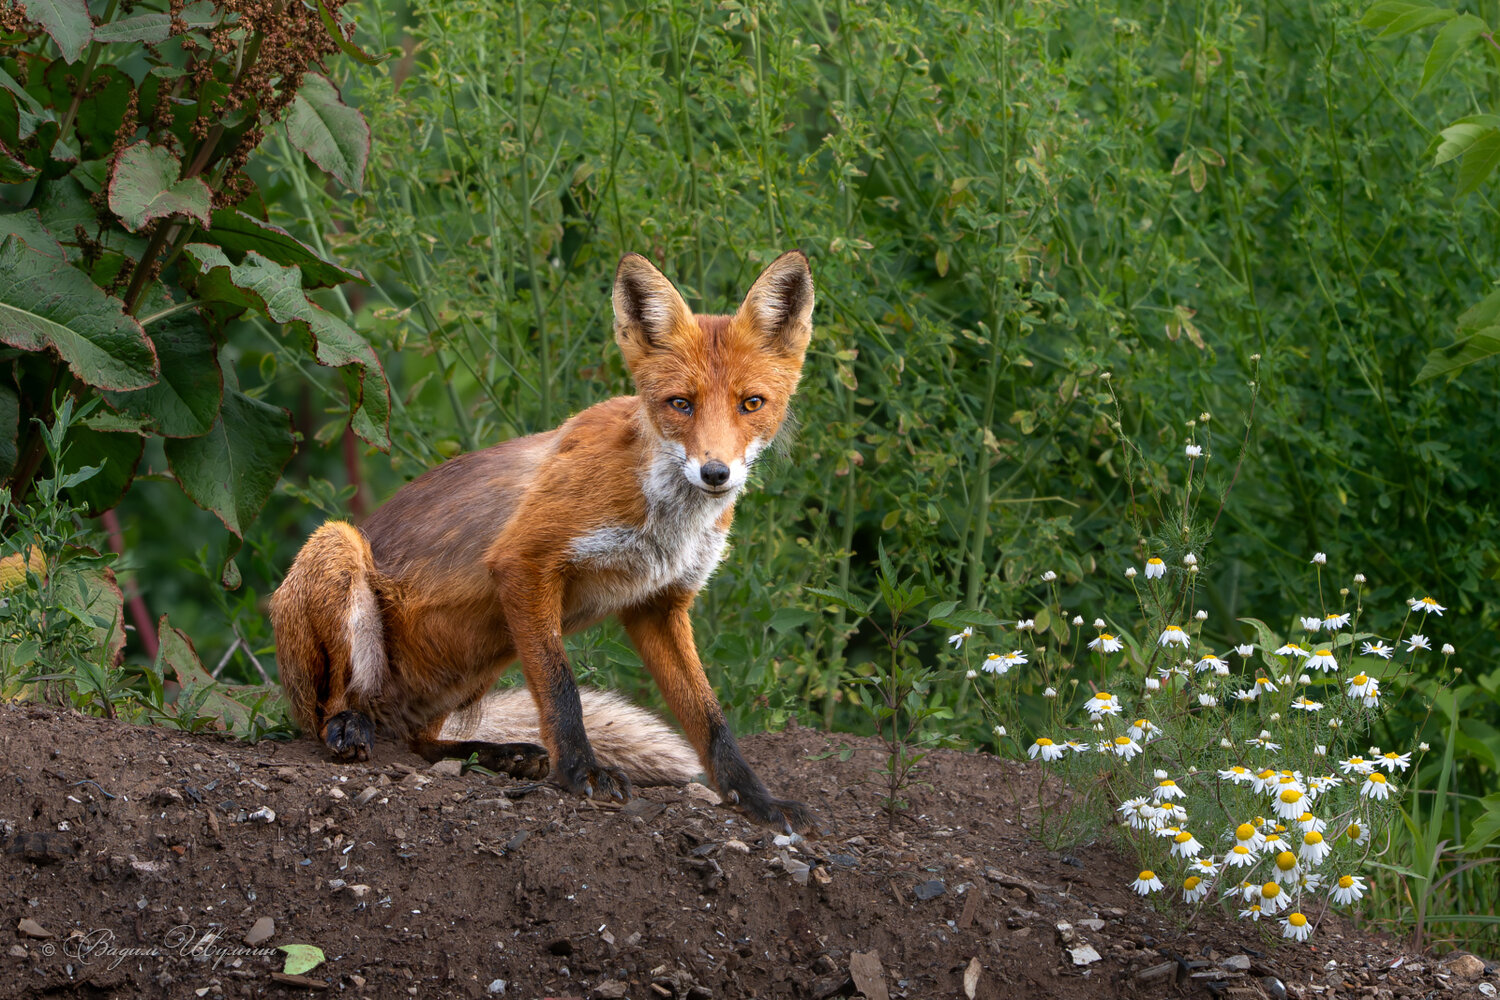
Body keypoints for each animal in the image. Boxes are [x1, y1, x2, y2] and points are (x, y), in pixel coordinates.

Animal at [270, 250, 819, 834]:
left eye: (751, 403)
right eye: (681, 404)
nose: (715, 473)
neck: (664, 517)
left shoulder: (659, 604)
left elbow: (711, 720)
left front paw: (756, 798)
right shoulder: (523, 564)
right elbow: (561, 690)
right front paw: (582, 772)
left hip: (475, 667)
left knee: (422, 742)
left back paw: (500, 753)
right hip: (338, 549)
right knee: (336, 709)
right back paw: (348, 727)